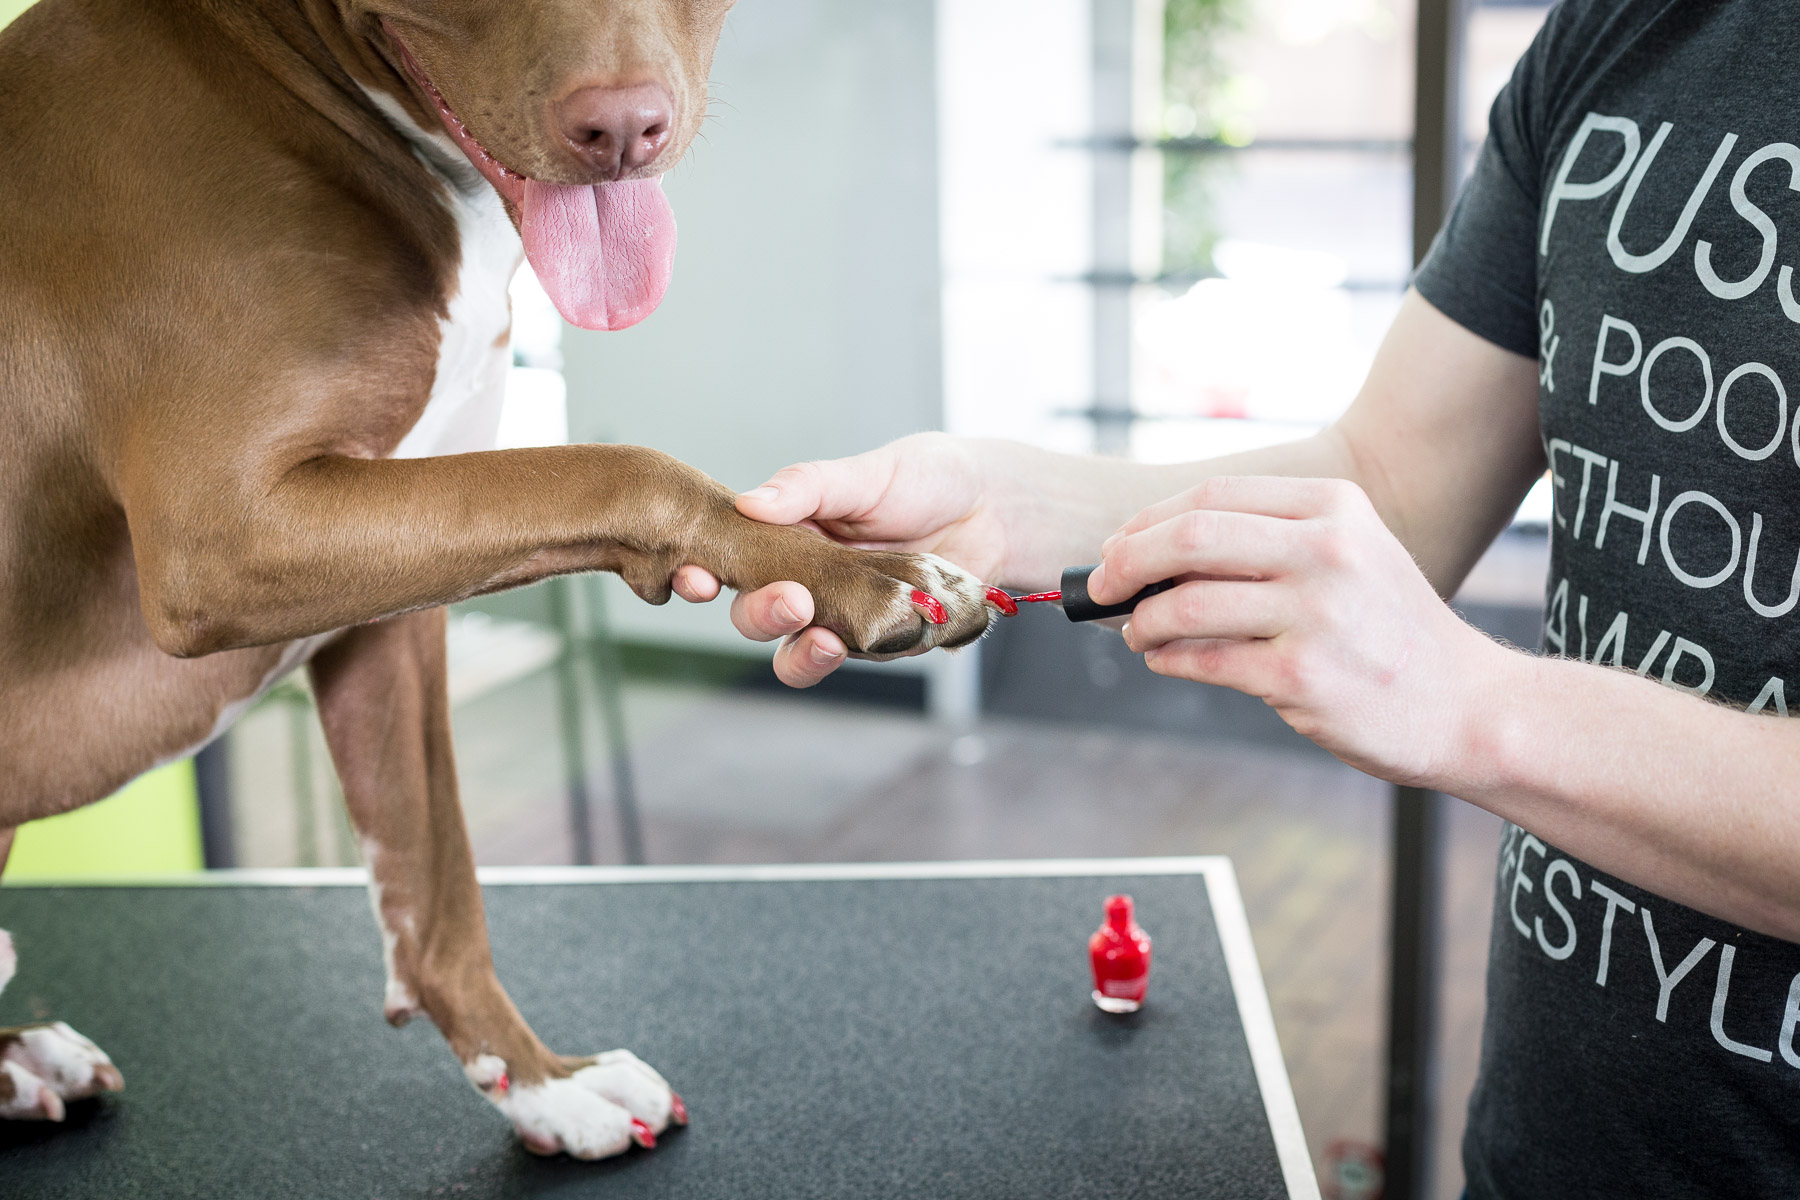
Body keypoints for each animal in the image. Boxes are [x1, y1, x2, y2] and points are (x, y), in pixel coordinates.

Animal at [0, 0, 986, 1165]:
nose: (622, 131)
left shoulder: (379, 608)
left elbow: (437, 888)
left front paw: (539, 1083)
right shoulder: (231, 533)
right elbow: (621, 467)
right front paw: (848, 567)